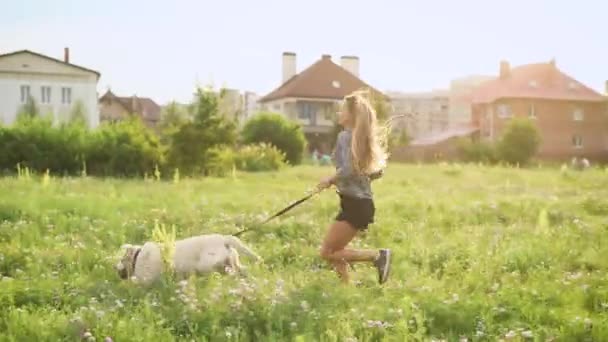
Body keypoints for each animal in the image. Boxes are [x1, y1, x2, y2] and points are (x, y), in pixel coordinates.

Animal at [114, 232, 262, 286]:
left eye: (121, 260)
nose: (115, 268)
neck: (137, 256)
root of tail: (225, 238)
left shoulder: (146, 279)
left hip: (209, 265)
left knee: (230, 272)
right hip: (233, 261)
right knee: (242, 270)